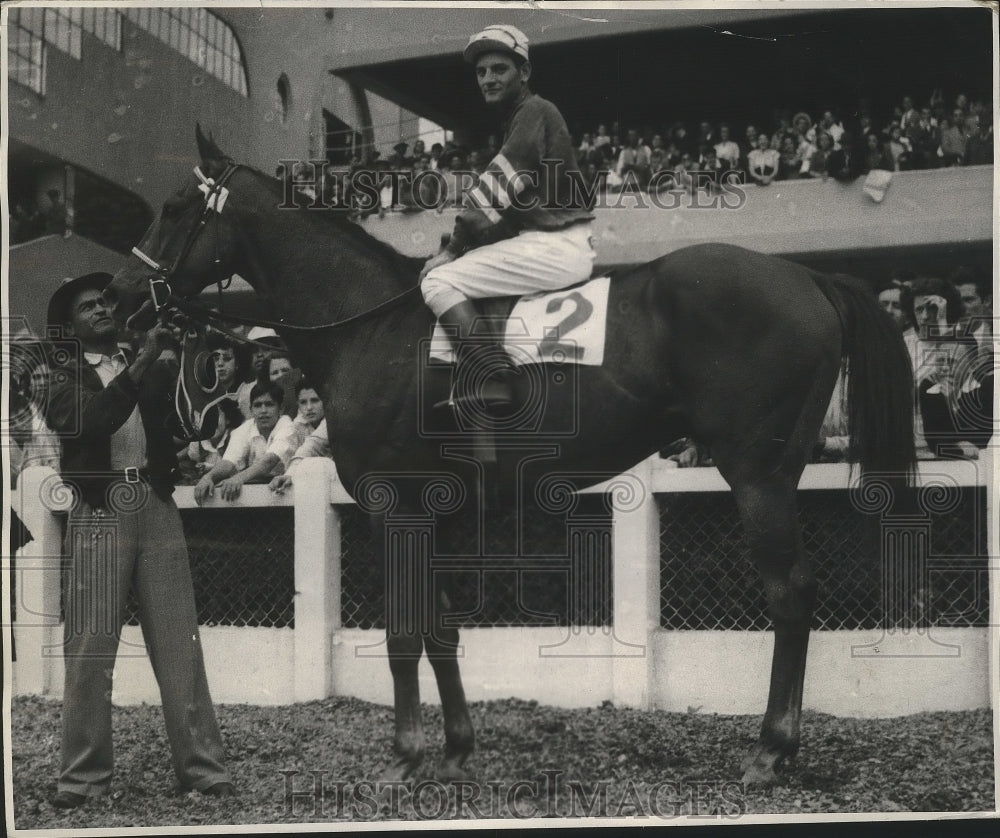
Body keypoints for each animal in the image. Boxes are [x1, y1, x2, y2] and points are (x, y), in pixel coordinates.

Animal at [105, 126, 916, 788]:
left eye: (174, 207)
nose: (119, 297)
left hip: (758, 475)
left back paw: (772, 749)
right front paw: (457, 748)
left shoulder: (390, 506)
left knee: (791, 594)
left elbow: (403, 633)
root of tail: (807, 276)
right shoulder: (440, 510)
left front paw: (405, 755)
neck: (371, 329)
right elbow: (440, 631)